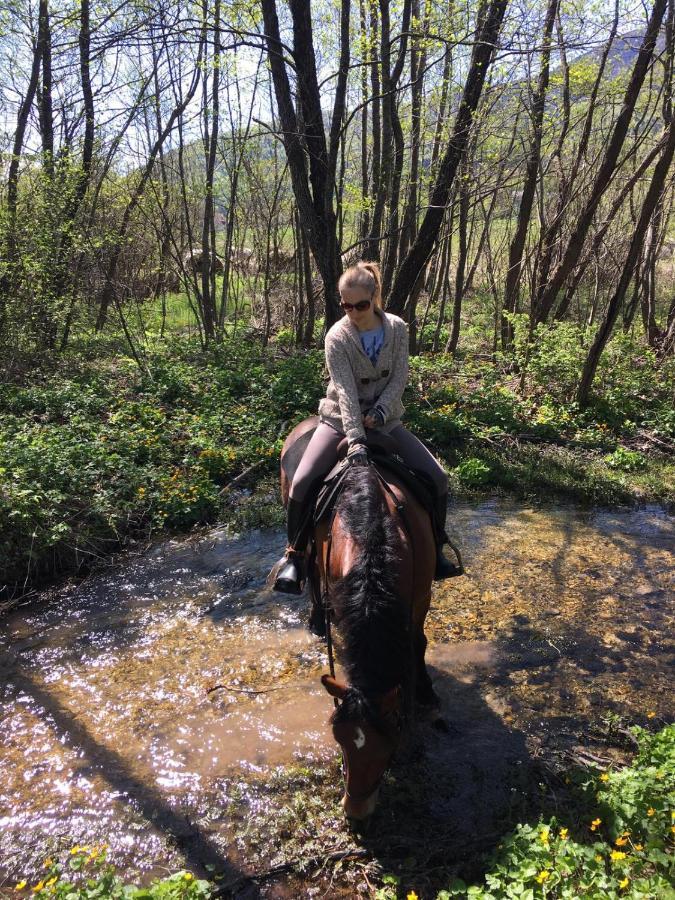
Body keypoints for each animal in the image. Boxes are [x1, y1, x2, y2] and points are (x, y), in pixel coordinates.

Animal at [280, 418, 438, 820]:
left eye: (390, 743)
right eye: (339, 740)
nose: (355, 811)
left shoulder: (421, 596)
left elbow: (418, 643)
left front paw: (426, 691)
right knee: (309, 572)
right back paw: (314, 619)